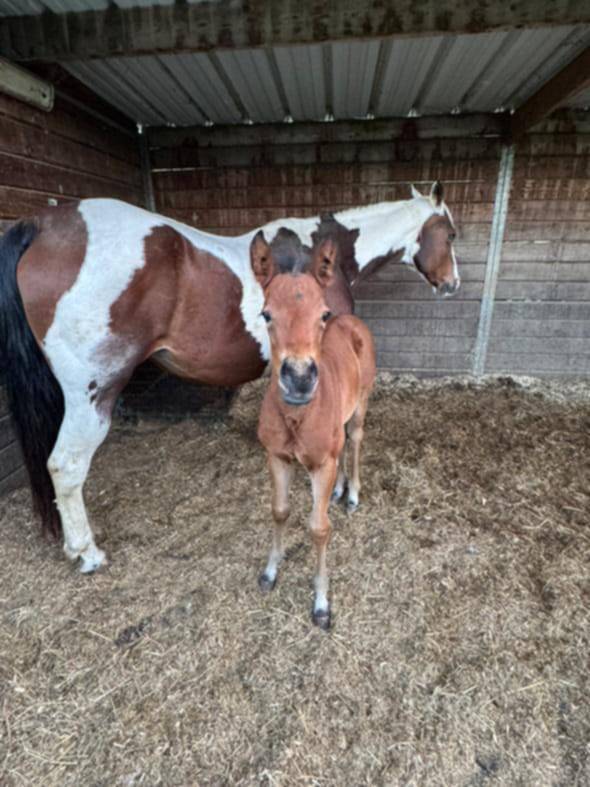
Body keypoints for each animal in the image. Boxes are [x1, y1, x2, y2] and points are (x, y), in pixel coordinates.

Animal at [0, 181, 458, 573]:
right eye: (451, 234)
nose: (452, 284)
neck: (319, 257)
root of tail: (42, 226)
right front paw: (346, 490)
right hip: (92, 394)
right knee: (65, 465)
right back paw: (86, 553)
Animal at [252, 231, 376, 629]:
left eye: (322, 314)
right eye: (266, 314)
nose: (300, 377)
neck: (297, 417)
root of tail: (353, 321)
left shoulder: (322, 464)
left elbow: (319, 528)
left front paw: (321, 603)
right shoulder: (276, 456)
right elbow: (279, 510)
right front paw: (270, 572)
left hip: (362, 401)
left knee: (355, 440)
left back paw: (352, 494)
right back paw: (338, 491)